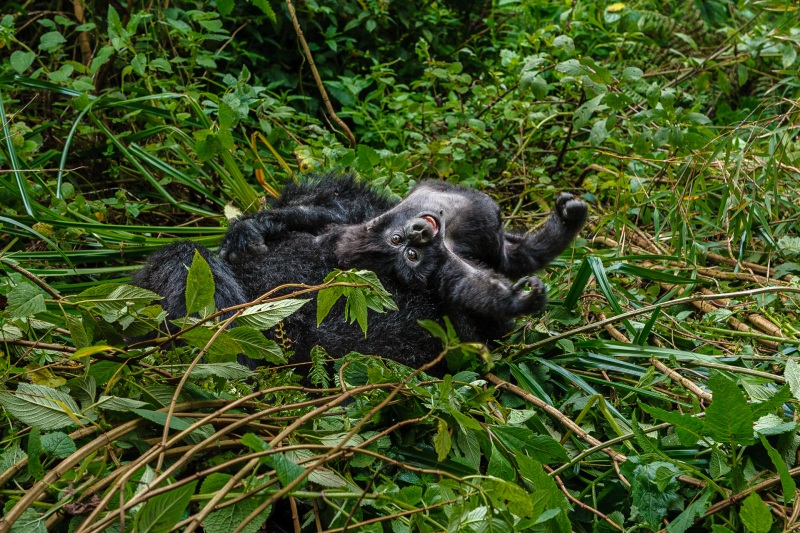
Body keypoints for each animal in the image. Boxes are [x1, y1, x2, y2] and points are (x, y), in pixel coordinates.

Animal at [133, 172, 588, 368]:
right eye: (403, 251)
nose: (418, 235)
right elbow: (467, 291)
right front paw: (518, 298)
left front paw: (251, 231)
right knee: (187, 261)